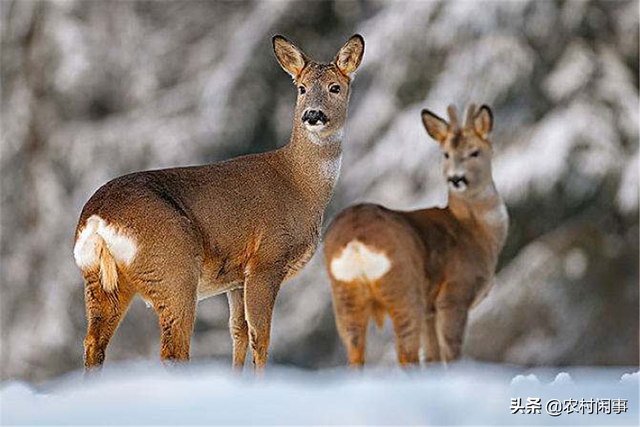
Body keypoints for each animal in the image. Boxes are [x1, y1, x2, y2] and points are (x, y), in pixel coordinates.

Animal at [74, 34, 364, 372]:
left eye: (335, 87)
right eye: (302, 87)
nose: (313, 115)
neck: (301, 185)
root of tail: (98, 220)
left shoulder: (236, 279)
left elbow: (238, 333)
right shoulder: (267, 259)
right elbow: (260, 336)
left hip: (99, 280)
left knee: (94, 343)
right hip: (174, 268)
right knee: (173, 348)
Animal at [324, 104, 510, 368]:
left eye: (475, 152)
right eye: (445, 154)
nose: (456, 178)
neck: (476, 232)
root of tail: (356, 241)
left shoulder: (430, 309)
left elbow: (432, 357)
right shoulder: (454, 293)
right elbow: (450, 352)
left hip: (345, 295)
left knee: (356, 356)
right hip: (404, 288)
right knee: (406, 355)